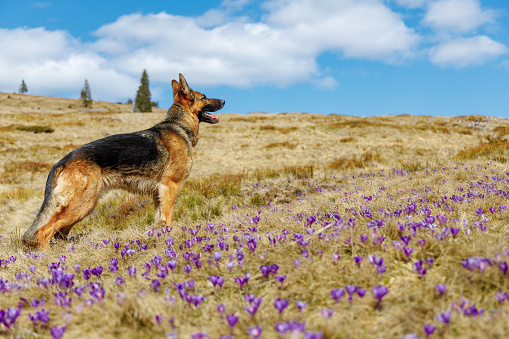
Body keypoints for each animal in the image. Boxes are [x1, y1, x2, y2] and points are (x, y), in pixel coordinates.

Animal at [21, 74, 224, 250]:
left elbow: (159, 220)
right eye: (204, 97)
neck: (179, 125)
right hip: (82, 204)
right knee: (43, 231)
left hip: (83, 207)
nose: (224, 101)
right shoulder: (170, 186)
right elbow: (168, 219)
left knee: (58, 233)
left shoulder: (158, 193)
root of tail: (61, 162)